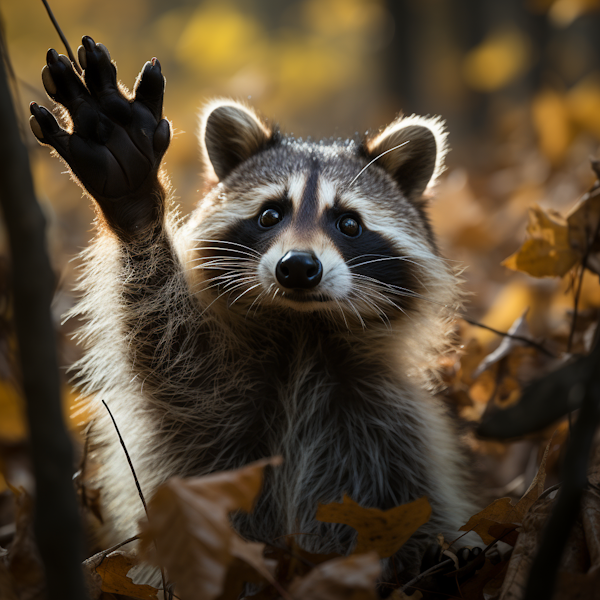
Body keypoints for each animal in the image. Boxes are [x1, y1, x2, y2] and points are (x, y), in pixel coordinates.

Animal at [31, 36, 474, 576]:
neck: (304, 333)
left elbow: (413, 510)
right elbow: (166, 345)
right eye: (269, 215)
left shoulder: (387, 426)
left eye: (349, 224)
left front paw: (438, 552)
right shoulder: (218, 404)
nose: (298, 268)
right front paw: (136, 209)